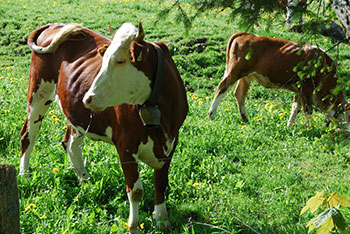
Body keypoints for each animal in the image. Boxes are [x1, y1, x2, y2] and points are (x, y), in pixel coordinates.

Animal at [19, 21, 189, 232]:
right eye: (105, 59)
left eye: (120, 61)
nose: (88, 98)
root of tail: (56, 24)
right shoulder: (126, 146)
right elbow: (135, 190)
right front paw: (134, 226)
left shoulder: (172, 142)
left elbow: (161, 183)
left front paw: (162, 220)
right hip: (38, 93)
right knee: (28, 135)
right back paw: (24, 175)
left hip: (75, 113)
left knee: (70, 143)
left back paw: (85, 181)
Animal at [208, 32, 350, 128]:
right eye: (348, 116)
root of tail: (247, 34)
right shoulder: (307, 87)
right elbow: (307, 109)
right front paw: (310, 127)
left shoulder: (299, 89)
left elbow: (296, 107)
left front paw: (289, 125)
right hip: (235, 71)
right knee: (222, 88)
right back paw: (211, 115)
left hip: (246, 76)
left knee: (239, 94)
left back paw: (245, 119)